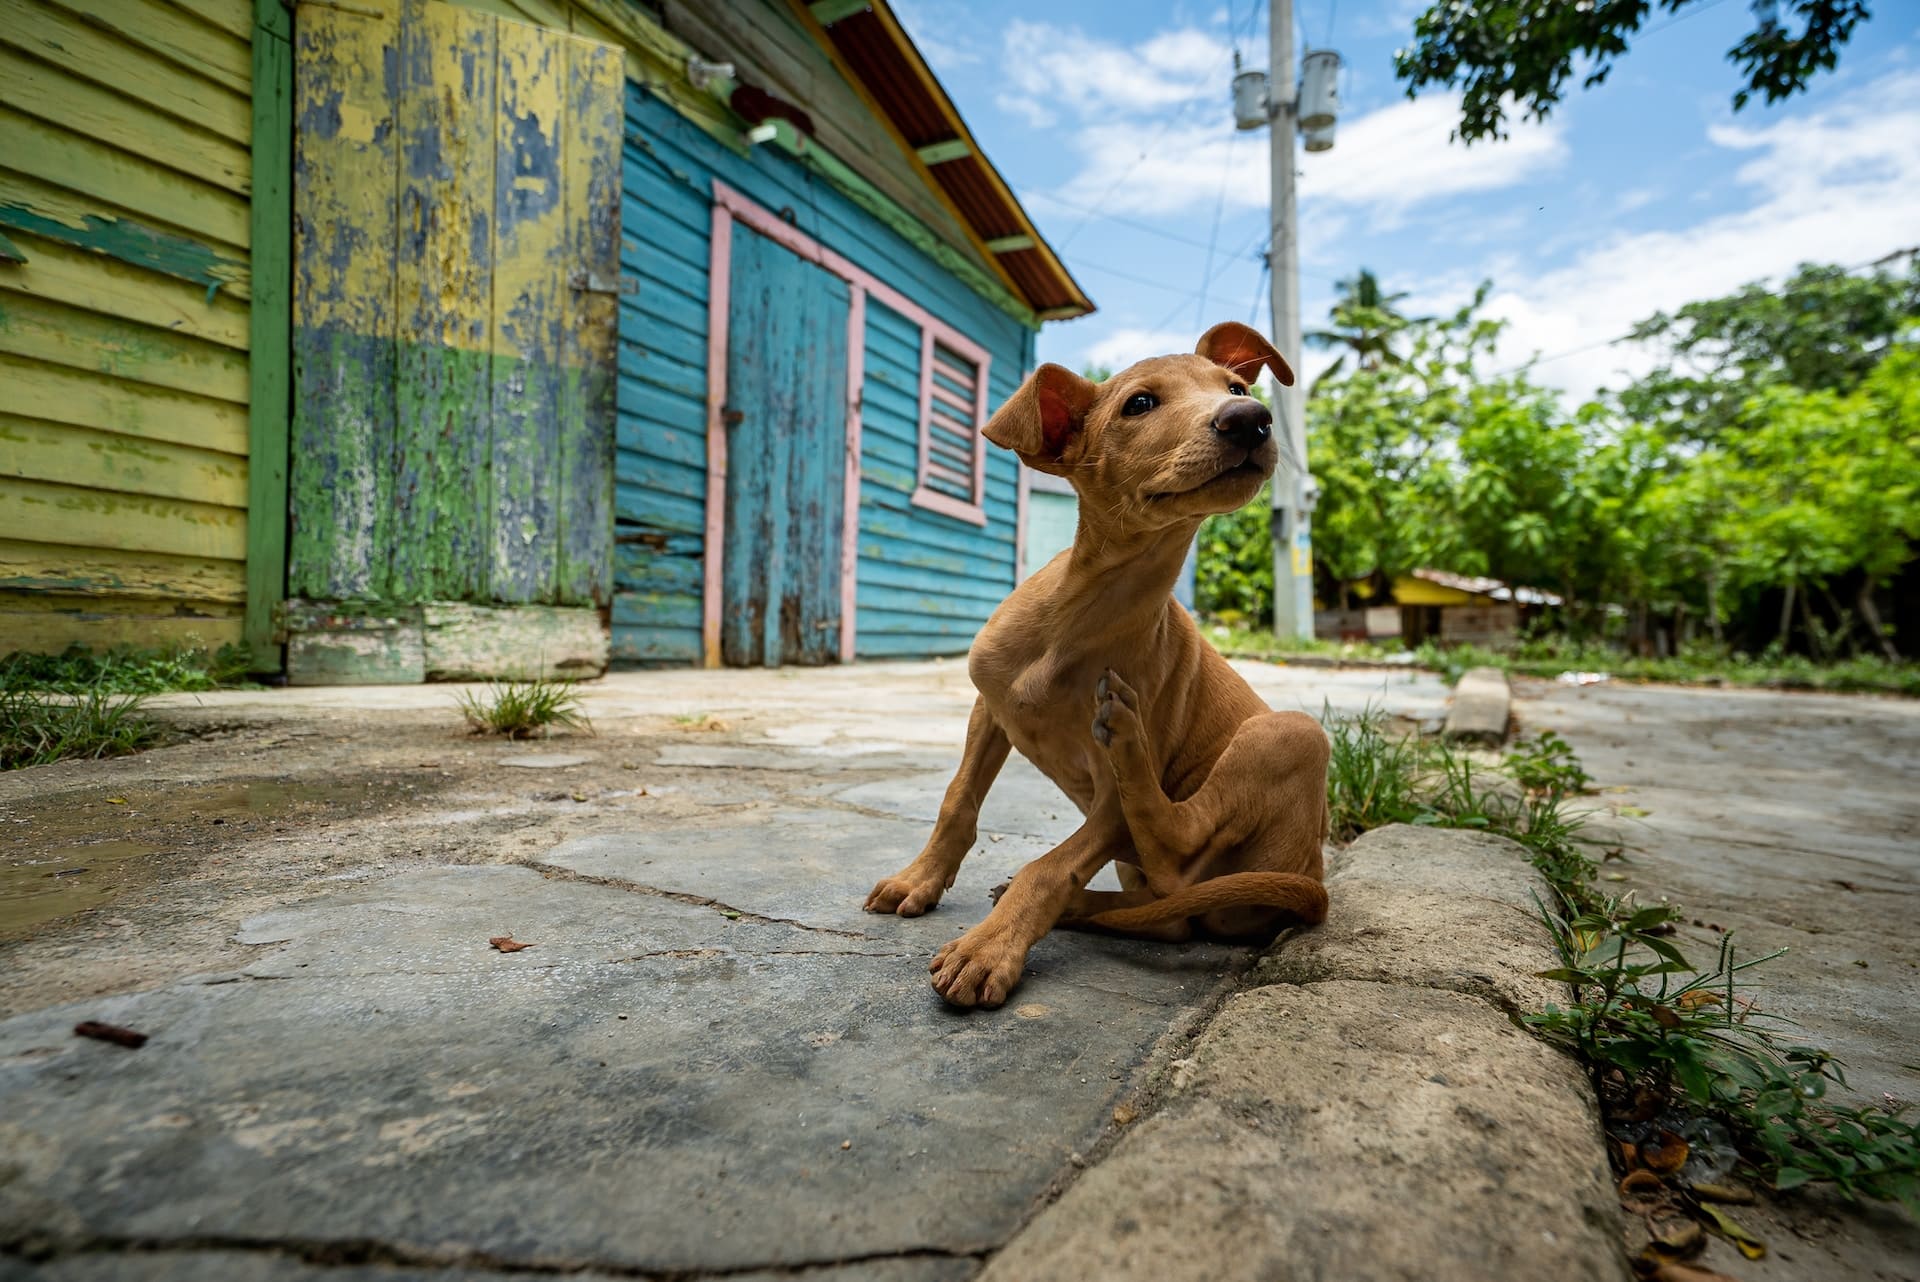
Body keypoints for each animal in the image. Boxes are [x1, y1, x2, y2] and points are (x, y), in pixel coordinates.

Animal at [864, 322, 1328, 1013]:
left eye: (1237, 389)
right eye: (1140, 403)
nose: (1251, 419)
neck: (1082, 616)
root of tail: (1314, 876)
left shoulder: (1107, 810)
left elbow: (1049, 865)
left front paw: (989, 949)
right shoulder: (990, 708)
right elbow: (957, 801)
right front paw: (918, 879)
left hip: (1294, 732)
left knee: (1179, 850)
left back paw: (1127, 744)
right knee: (1167, 912)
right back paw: (1085, 908)